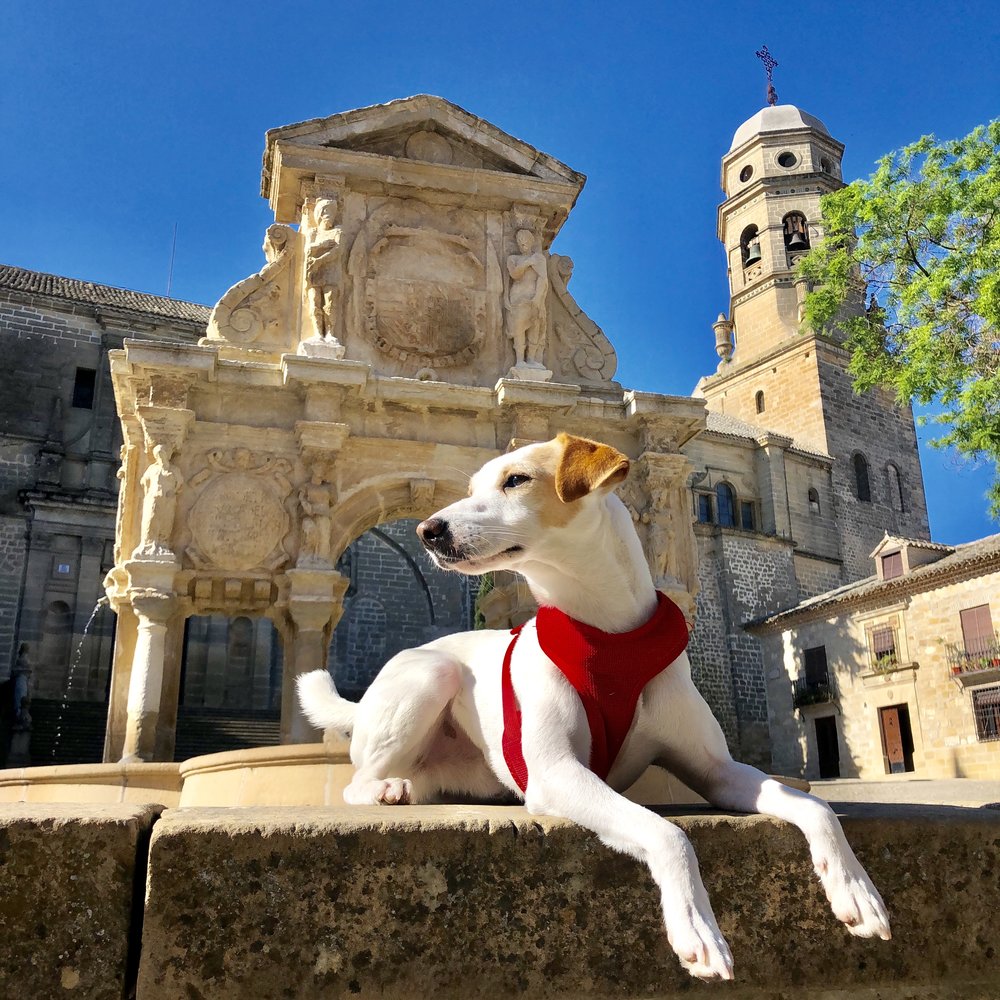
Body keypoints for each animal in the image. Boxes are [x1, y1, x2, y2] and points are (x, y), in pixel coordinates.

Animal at [298, 434, 892, 980]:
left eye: (515, 480)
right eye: (470, 488)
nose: (427, 529)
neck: (609, 637)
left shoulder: (718, 772)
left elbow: (816, 807)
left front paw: (856, 890)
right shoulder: (558, 773)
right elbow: (668, 832)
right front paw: (696, 925)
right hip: (430, 675)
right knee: (356, 781)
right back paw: (386, 789)